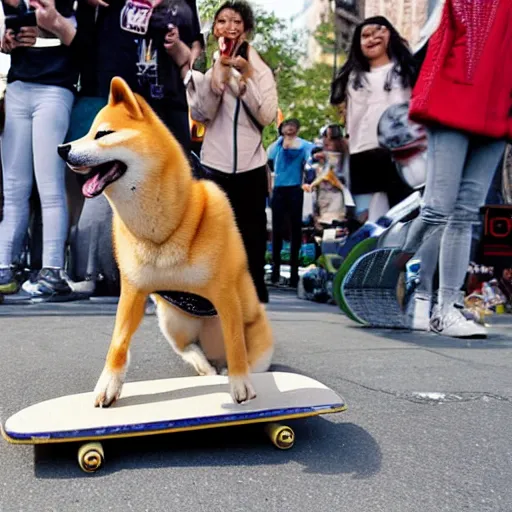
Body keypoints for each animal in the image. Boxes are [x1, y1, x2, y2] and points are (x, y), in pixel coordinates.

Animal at [58, 77, 274, 408]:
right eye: (86, 132)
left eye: (103, 134)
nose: (61, 148)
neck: (162, 232)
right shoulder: (132, 291)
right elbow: (118, 342)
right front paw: (108, 384)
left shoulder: (226, 295)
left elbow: (236, 343)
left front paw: (240, 385)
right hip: (172, 322)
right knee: (190, 350)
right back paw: (205, 367)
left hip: (258, 340)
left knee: (242, 355)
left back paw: (228, 371)